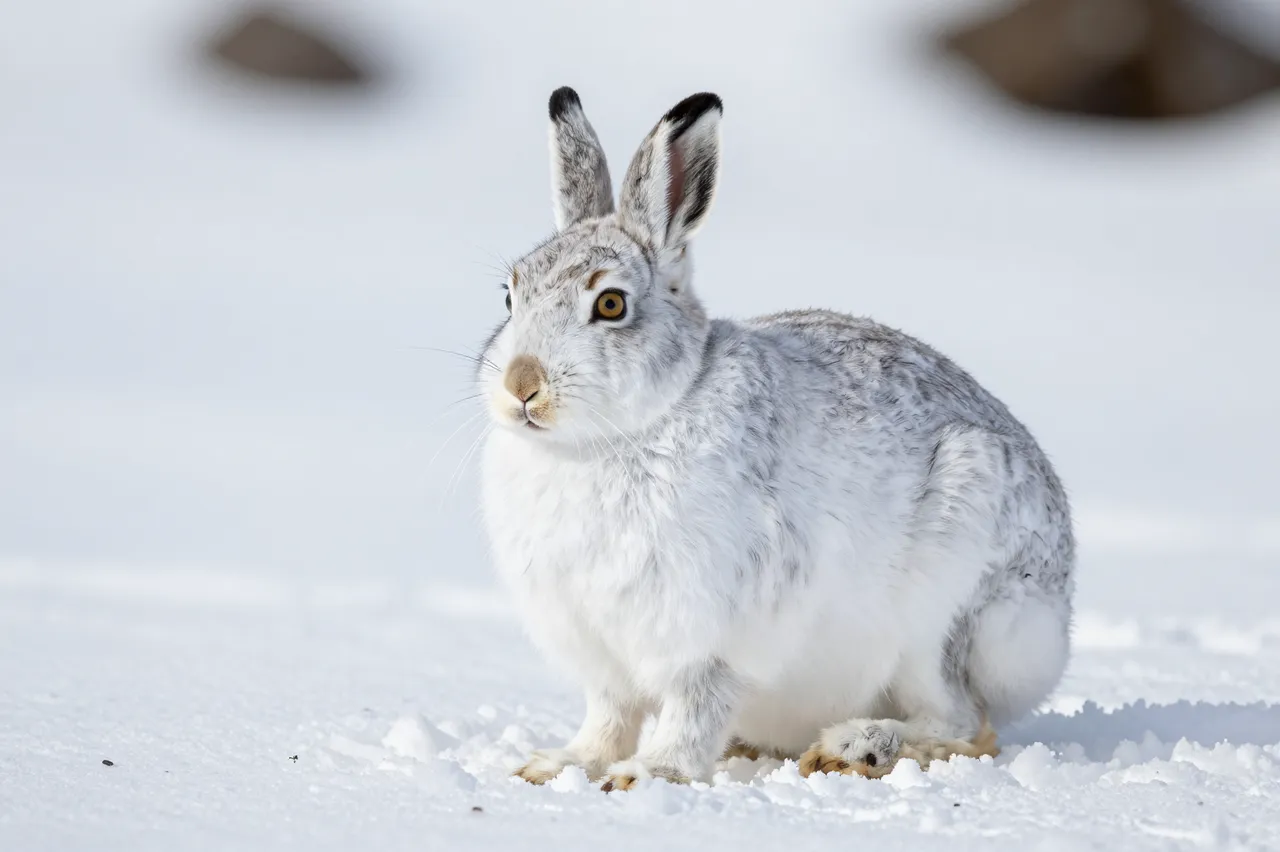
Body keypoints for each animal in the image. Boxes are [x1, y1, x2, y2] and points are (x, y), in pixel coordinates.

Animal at [477, 87, 1074, 791]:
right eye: (509, 297)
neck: (610, 440)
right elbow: (609, 715)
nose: (521, 385)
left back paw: (856, 748)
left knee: (962, 723)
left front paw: (651, 774)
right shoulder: (601, 652)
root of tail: (1057, 618)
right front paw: (560, 765)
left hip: (944, 611)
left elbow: (693, 705)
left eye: (611, 305)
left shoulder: (707, 637)